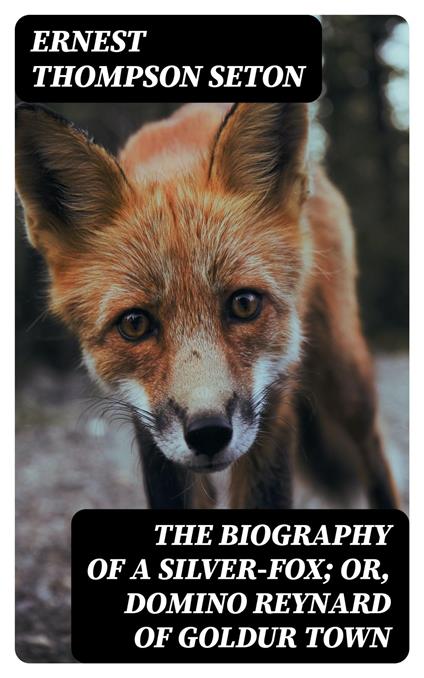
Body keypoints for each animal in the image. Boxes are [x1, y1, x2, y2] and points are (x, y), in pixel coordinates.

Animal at [15, 101, 399, 510]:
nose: (209, 432)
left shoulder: (275, 400)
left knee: (373, 450)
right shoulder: (149, 428)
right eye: (134, 324)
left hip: (345, 378)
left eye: (244, 304)